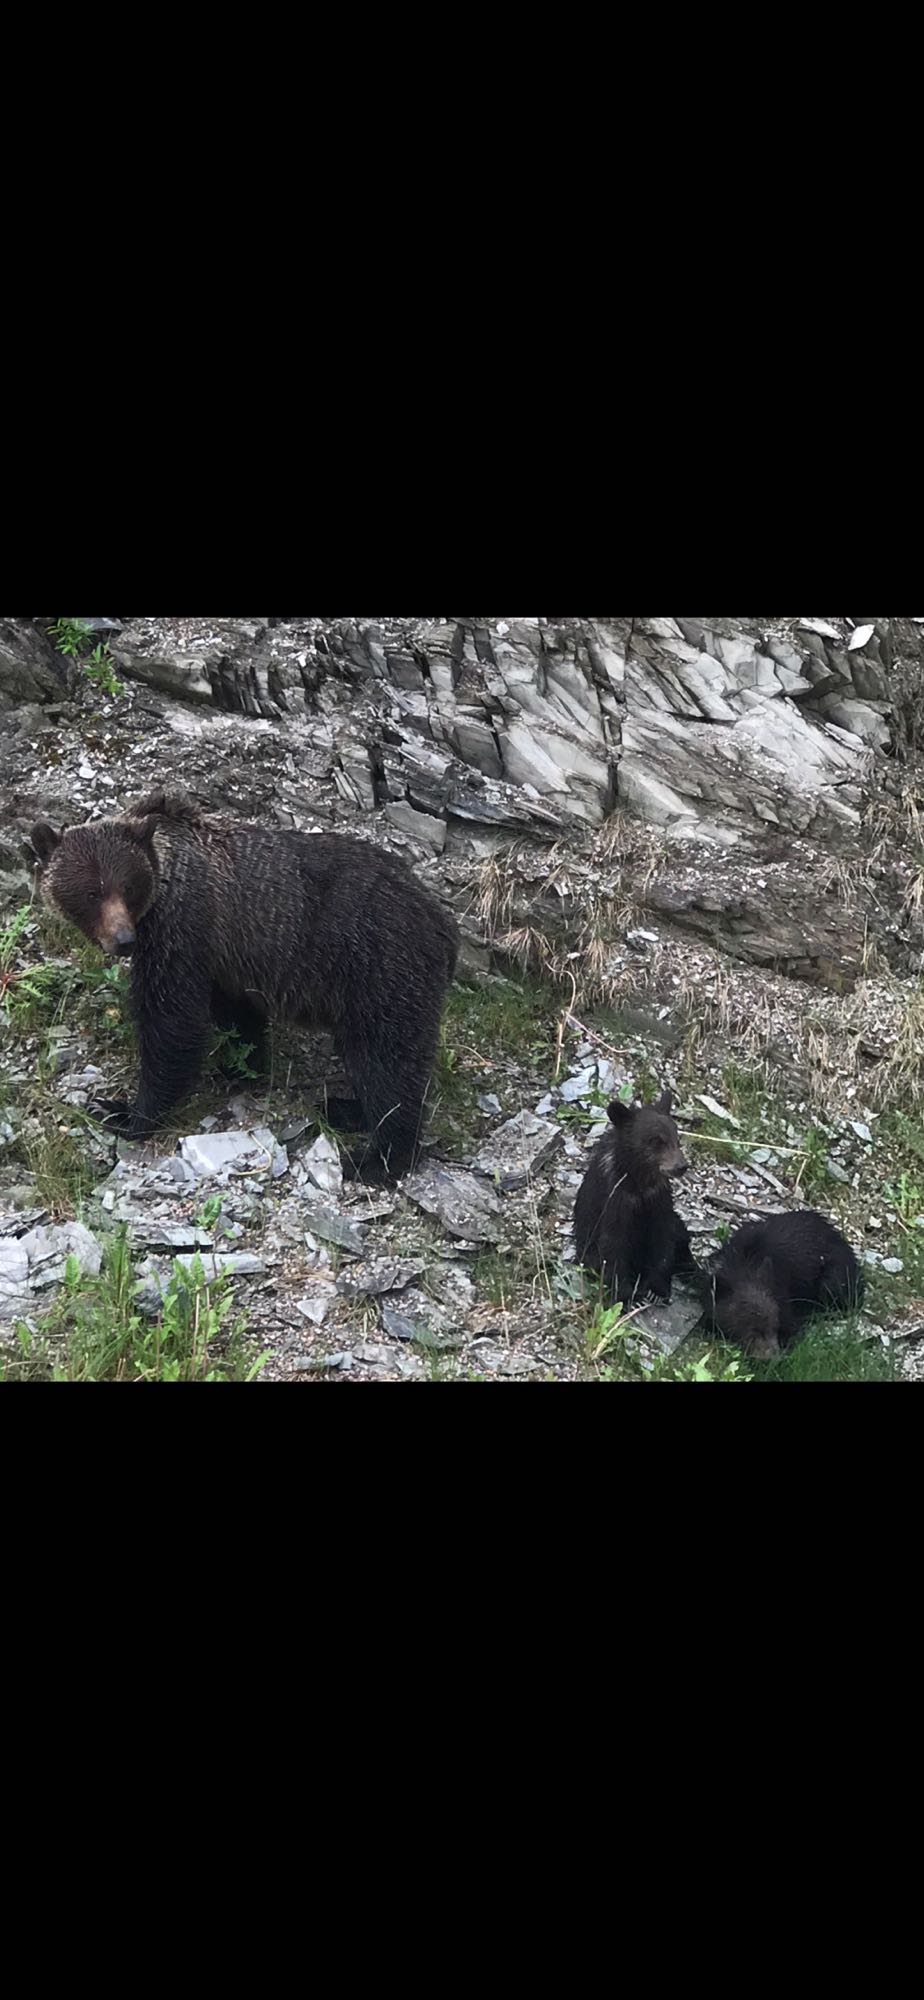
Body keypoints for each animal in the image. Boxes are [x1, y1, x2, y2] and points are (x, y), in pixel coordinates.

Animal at [29, 789, 460, 1179]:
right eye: (92, 892)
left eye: (128, 886)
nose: (123, 940)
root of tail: (441, 921)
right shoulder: (223, 960)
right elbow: (238, 1016)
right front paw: (241, 1068)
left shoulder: (182, 930)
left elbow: (171, 1023)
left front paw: (124, 1112)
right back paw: (346, 1107)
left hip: (381, 968)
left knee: (387, 1060)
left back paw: (376, 1159)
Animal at [573, 1091, 698, 1308]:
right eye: (657, 1141)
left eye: (677, 1139)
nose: (681, 1166)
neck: (639, 1182)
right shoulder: (616, 1198)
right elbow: (613, 1244)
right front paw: (627, 1296)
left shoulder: (659, 1198)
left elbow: (663, 1237)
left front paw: (656, 1289)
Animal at [698, 1209, 864, 1360]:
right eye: (752, 1329)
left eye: (774, 1325)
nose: (772, 1358)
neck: (743, 1265)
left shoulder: (782, 1297)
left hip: (833, 1277)